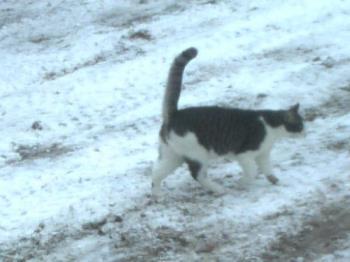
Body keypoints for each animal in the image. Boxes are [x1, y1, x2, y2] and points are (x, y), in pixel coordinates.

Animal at [152, 47, 304, 196]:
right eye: (300, 125)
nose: (305, 132)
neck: (271, 127)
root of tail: (174, 114)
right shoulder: (245, 154)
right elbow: (252, 171)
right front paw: (241, 183)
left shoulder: (263, 154)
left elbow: (267, 169)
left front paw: (275, 180)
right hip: (197, 154)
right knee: (197, 175)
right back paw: (218, 189)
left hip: (173, 156)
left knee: (156, 175)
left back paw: (158, 194)